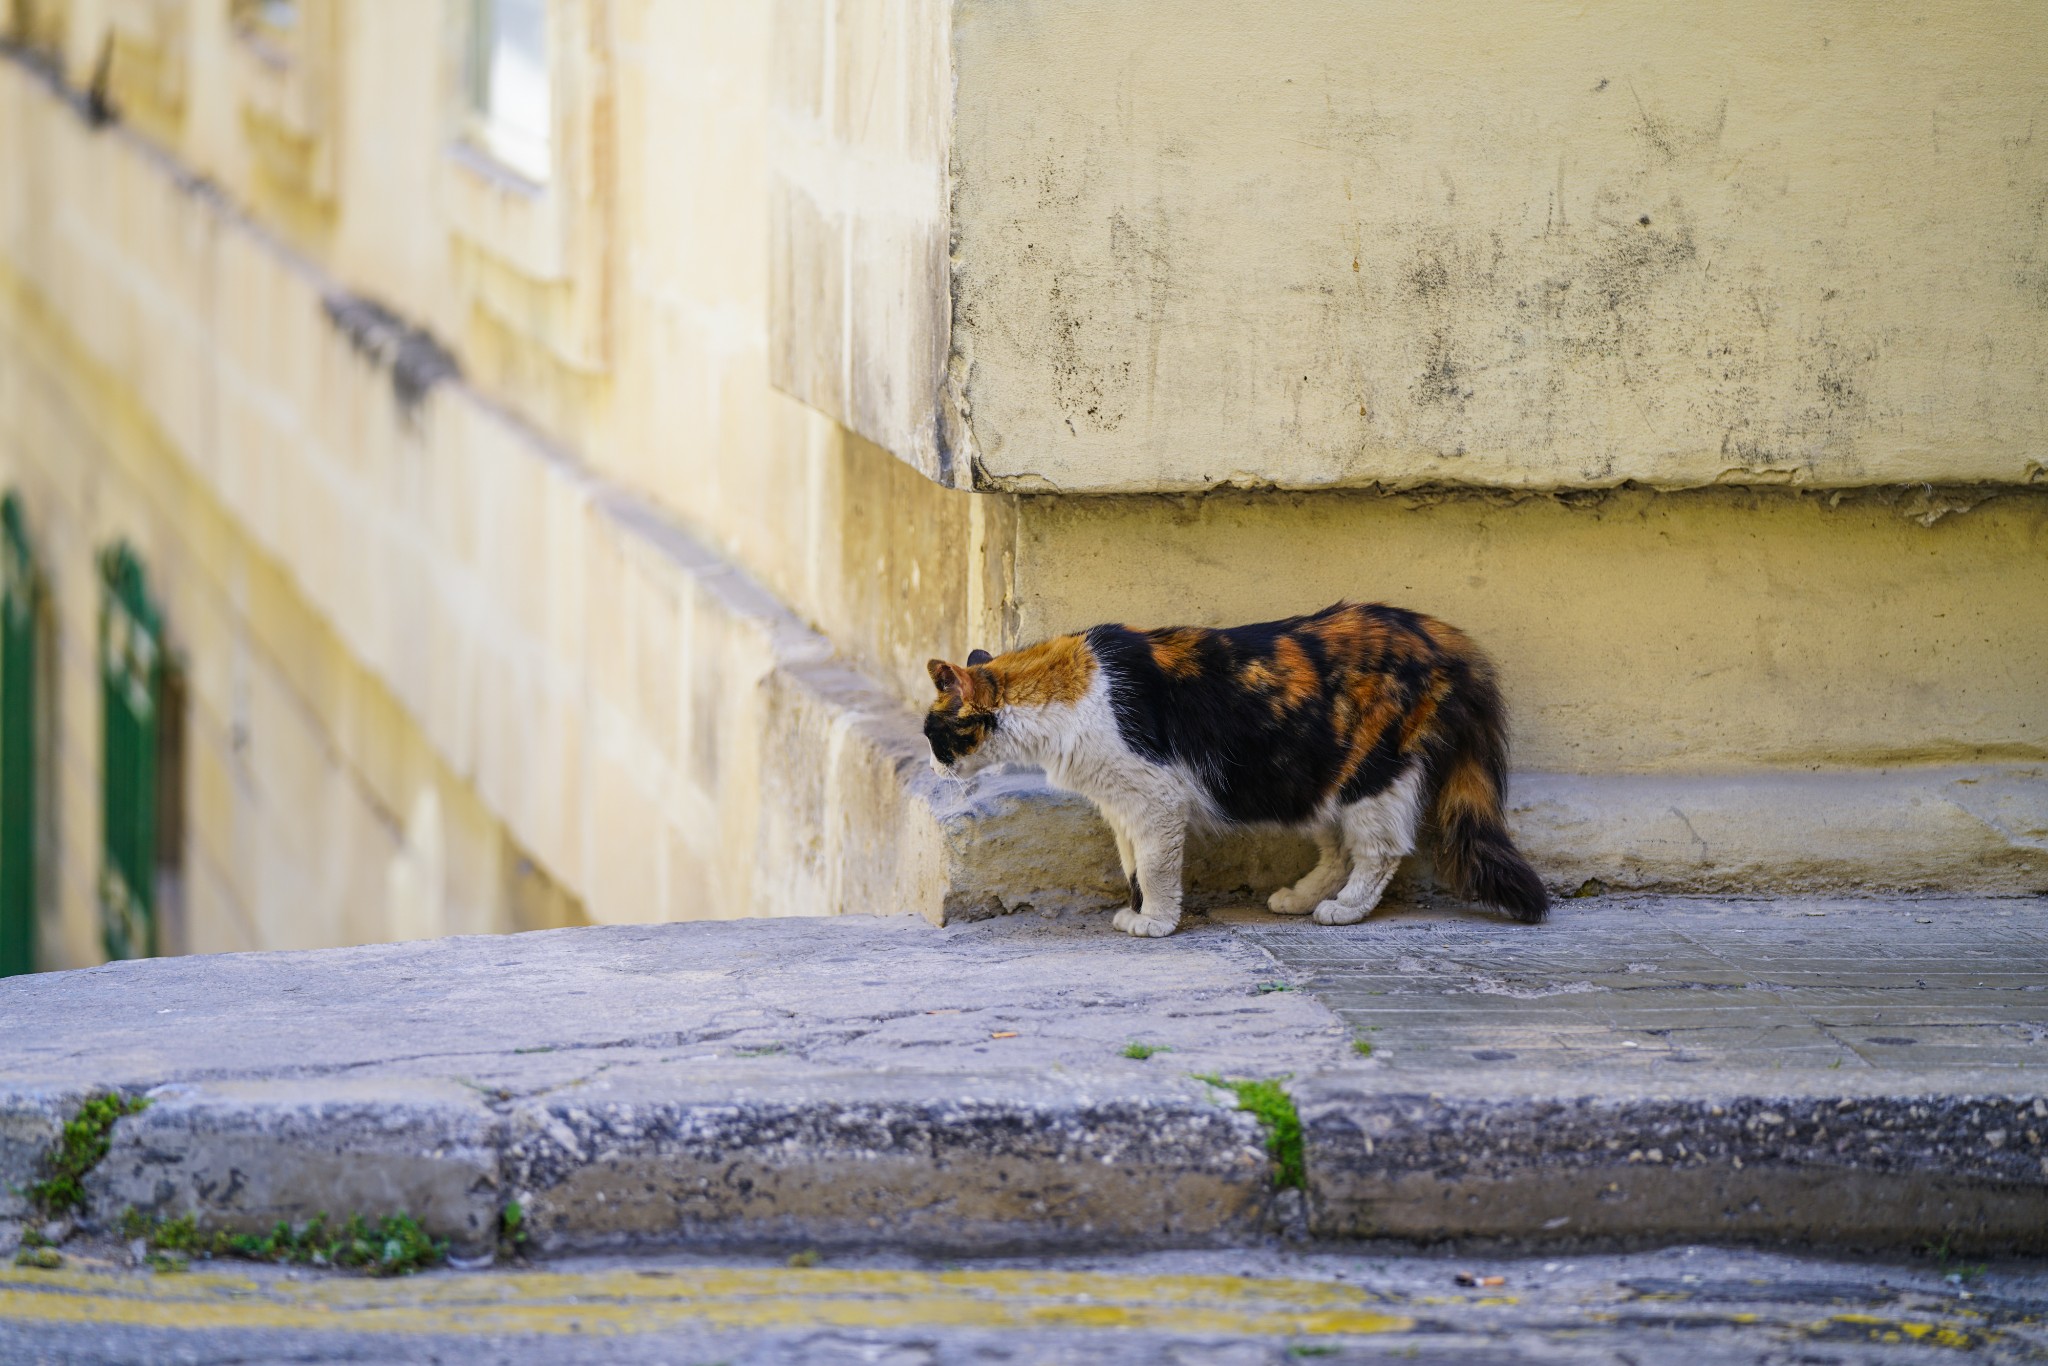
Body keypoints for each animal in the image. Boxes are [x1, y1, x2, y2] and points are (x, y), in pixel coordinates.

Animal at [921, 602, 1540, 933]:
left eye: (933, 736)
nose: (933, 768)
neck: (1064, 694)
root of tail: (1438, 634)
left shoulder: (1155, 799)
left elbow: (1155, 867)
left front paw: (1157, 922)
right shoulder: (1121, 807)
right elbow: (1131, 865)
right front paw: (1137, 911)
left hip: (1368, 775)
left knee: (1380, 850)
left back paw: (1343, 909)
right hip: (1309, 779)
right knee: (1338, 849)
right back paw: (1301, 898)